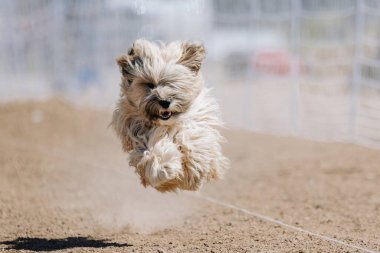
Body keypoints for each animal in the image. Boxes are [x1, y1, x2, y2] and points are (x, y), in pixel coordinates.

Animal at [110, 39, 229, 192]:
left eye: (174, 83)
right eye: (150, 85)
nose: (165, 102)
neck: (167, 125)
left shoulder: (197, 121)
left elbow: (192, 137)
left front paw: (195, 165)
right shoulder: (139, 134)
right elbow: (154, 149)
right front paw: (164, 167)